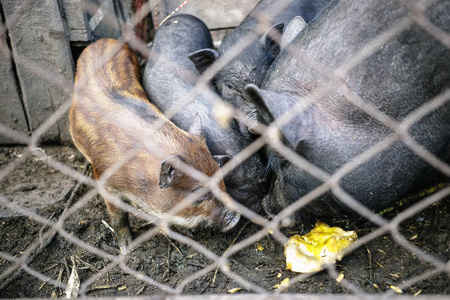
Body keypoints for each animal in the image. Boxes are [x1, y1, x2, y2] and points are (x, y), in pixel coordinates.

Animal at [69, 38, 241, 253]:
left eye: (221, 181)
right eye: (198, 196)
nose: (235, 216)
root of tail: (102, 41)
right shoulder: (104, 180)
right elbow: (119, 217)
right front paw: (127, 249)